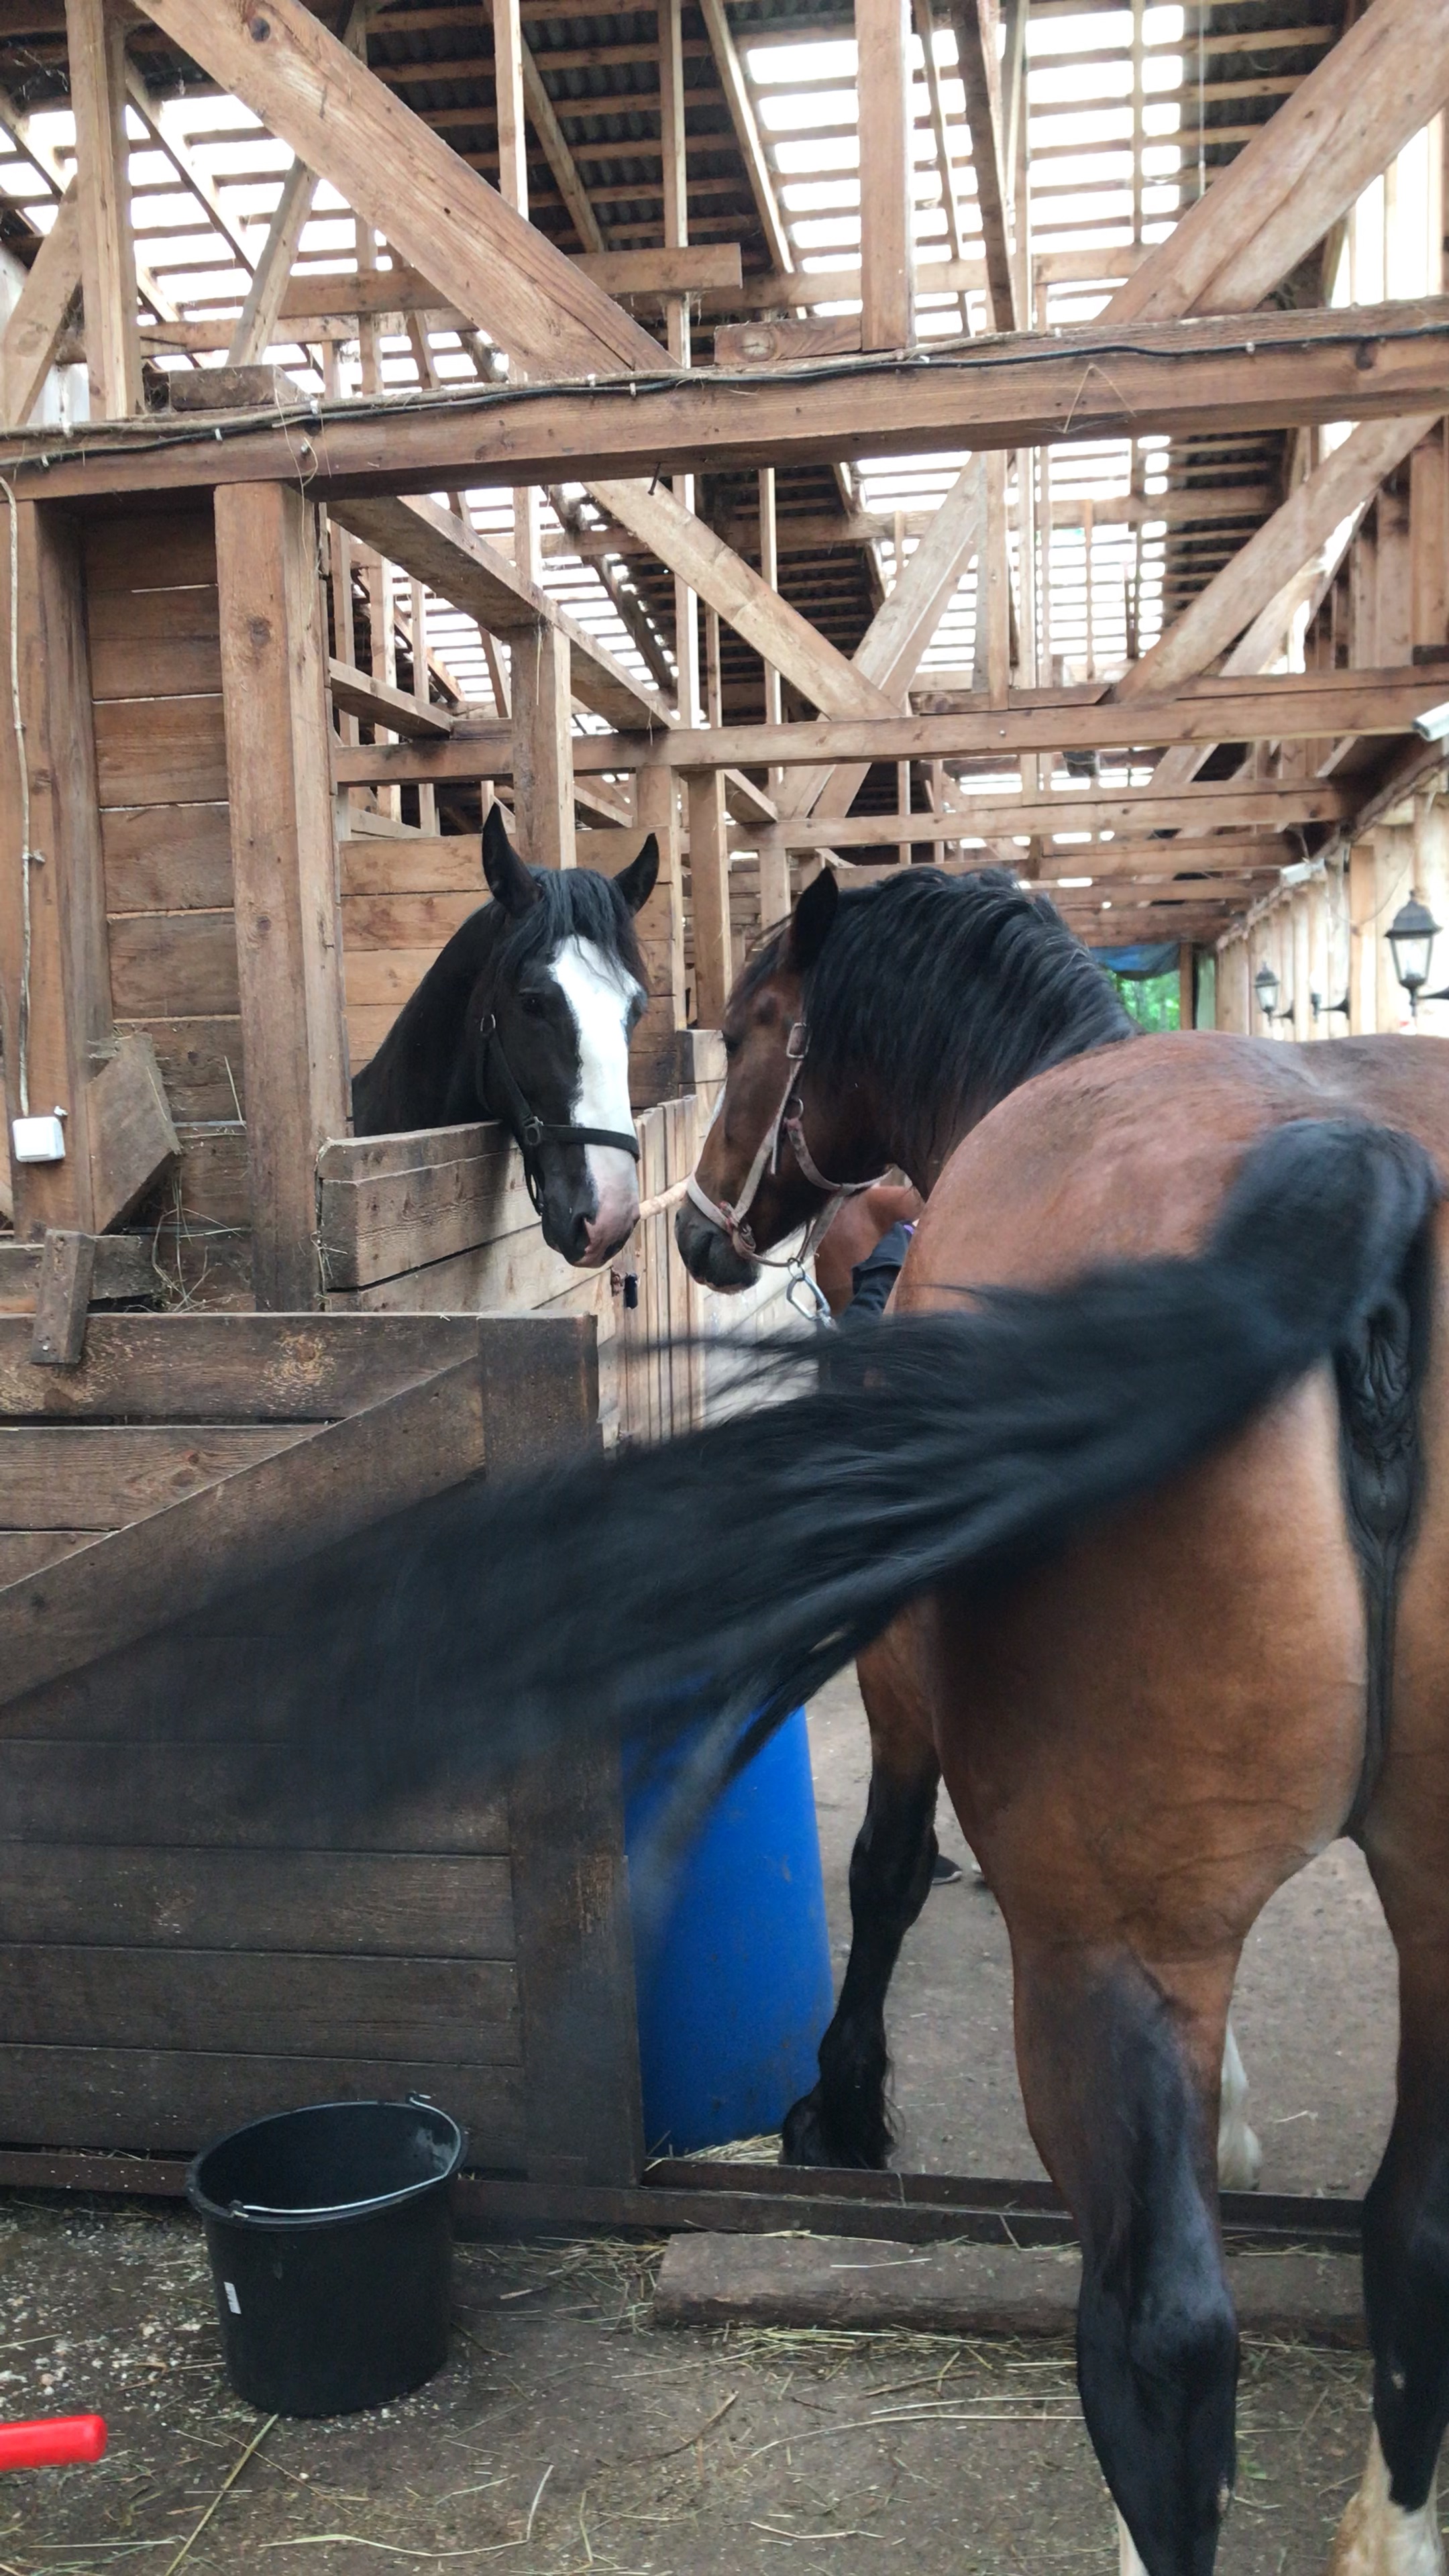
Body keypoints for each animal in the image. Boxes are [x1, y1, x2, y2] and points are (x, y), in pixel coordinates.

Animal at [307, 870, 1444, 2576]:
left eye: (758, 1023)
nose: (694, 1225)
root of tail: (1360, 1178)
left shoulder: (907, 1688)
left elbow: (886, 1874)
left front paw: (837, 2105)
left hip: (1102, 1946)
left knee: (1166, 2338)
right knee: (1416, 2241)